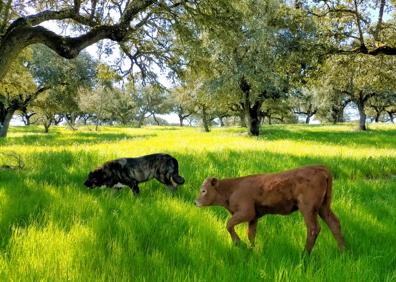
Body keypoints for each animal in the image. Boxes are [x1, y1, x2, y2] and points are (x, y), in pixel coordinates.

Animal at [195, 164, 344, 252]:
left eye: (203, 190)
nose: (195, 202)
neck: (232, 189)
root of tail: (321, 168)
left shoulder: (246, 212)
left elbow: (229, 224)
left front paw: (239, 243)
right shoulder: (254, 216)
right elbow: (251, 234)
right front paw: (251, 249)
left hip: (308, 208)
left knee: (313, 228)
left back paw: (304, 254)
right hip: (323, 206)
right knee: (334, 223)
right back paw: (342, 251)